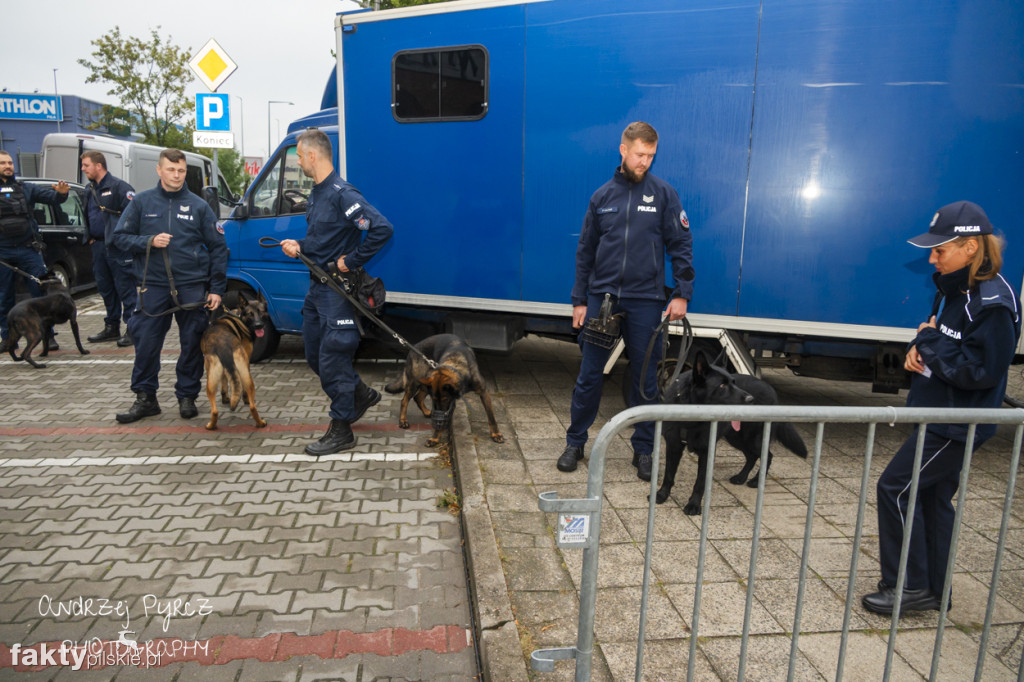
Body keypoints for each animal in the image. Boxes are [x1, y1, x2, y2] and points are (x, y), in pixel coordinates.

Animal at [199, 292, 268, 430]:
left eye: (262, 312)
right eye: (250, 314)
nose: (259, 325)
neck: (240, 317)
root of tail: (223, 345)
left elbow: (225, 380)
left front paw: (226, 398)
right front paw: (235, 398)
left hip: (210, 380)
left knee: (215, 410)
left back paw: (211, 425)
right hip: (246, 375)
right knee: (252, 406)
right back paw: (260, 423)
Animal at [655, 350, 806, 509]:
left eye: (734, 382)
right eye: (722, 385)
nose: (751, 400)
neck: (692, 415)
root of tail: (772, 391)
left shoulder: (707, 451)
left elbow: (700, 482)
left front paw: (694, 505)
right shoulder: (674, 445)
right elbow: (669, 475)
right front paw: (662, 495)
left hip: (752, 439)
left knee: (767, 456)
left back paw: (755, 481)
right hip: (736, 438)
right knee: (751, 456)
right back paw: (741, 477)